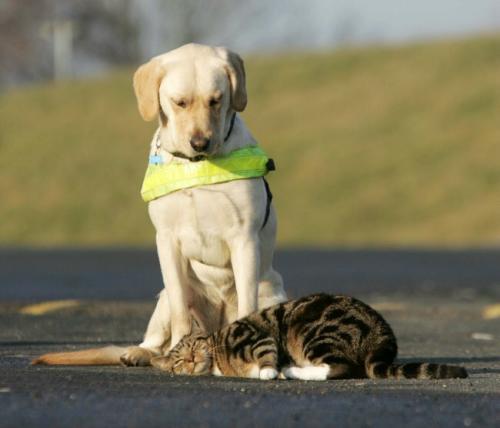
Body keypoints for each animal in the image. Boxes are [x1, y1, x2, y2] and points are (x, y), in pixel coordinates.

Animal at [34, 43, 286, 366]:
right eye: (180, 102)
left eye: (216, 100)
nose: (200, 143)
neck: (195, 167)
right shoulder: (167, 241)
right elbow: (180, 314)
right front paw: (176, 349)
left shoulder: (244, 238)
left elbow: (246, 304)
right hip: (164, 298)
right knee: (156, 341)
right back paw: (140, 353)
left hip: (273, 293)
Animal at [150, 292, 466, 380]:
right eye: (179, 361)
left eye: (193, 344)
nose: (192, 359)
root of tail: (381, 333)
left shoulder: (255, 337)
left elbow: (266, 358)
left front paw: (270, 372)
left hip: (313, 332)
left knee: (339, 368)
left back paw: (293, 370)